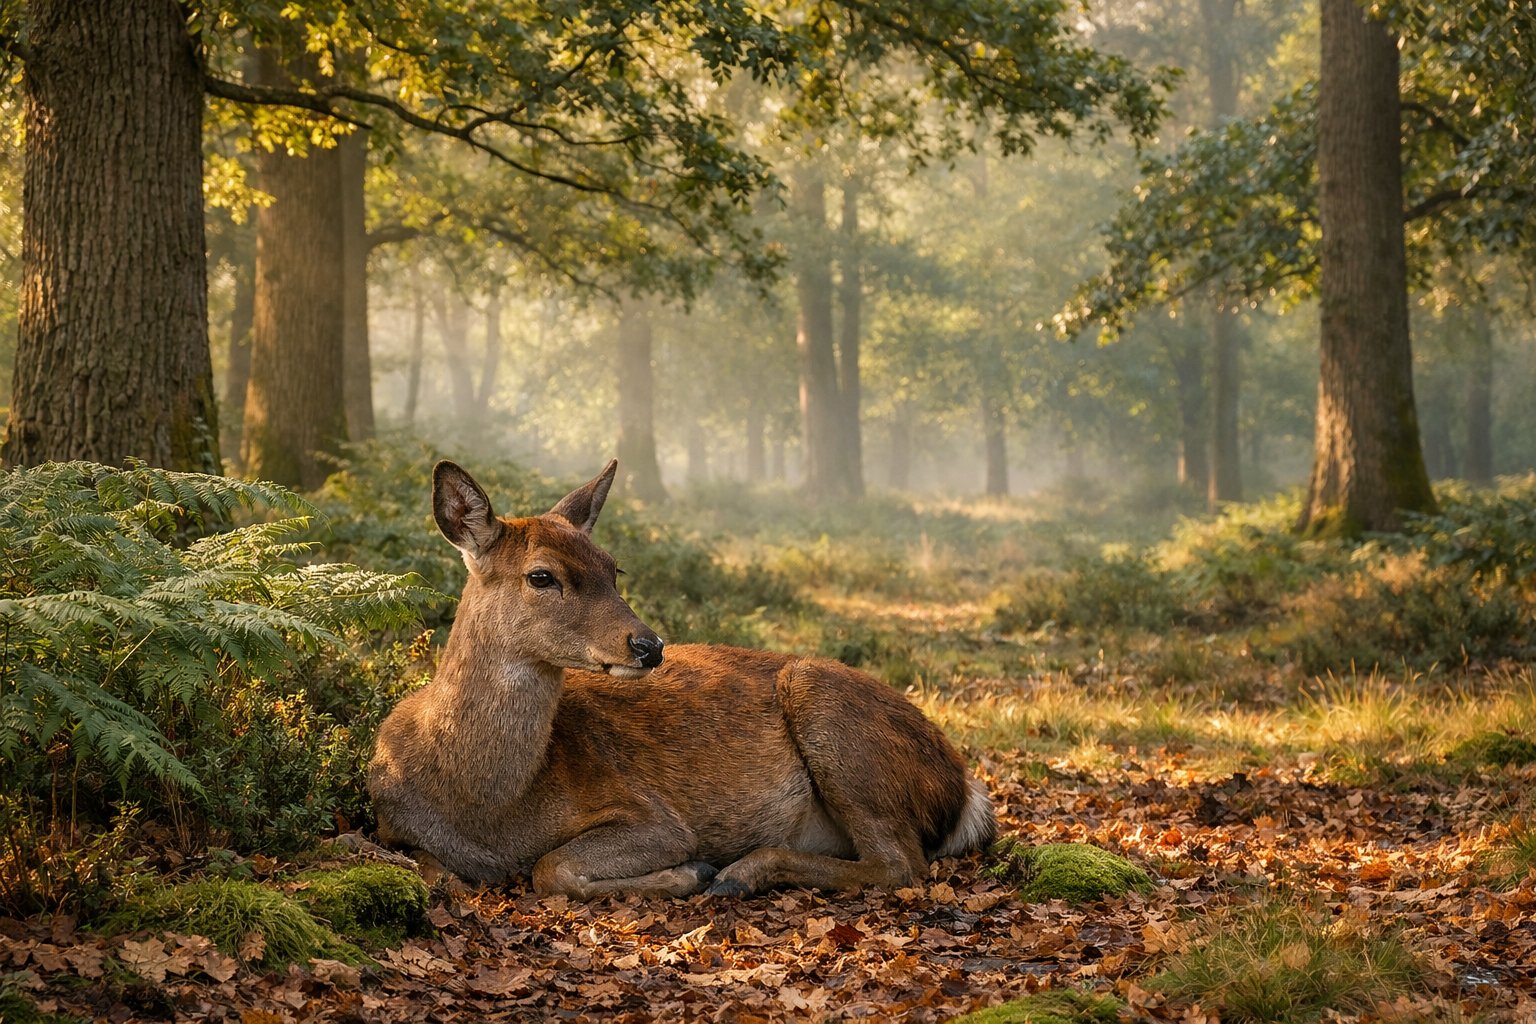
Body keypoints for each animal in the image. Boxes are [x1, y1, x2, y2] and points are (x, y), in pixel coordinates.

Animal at [366, 459, 995, 899]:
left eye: (612, 568)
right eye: (541, 576)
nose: (648, 645)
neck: (483, 807)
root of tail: (966, 790)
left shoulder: (654, 816)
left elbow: (552, 867)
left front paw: (690, 871)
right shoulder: (389, 824)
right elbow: (435, 873)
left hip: (830, 712)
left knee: (901, 863)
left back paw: (739, 872)